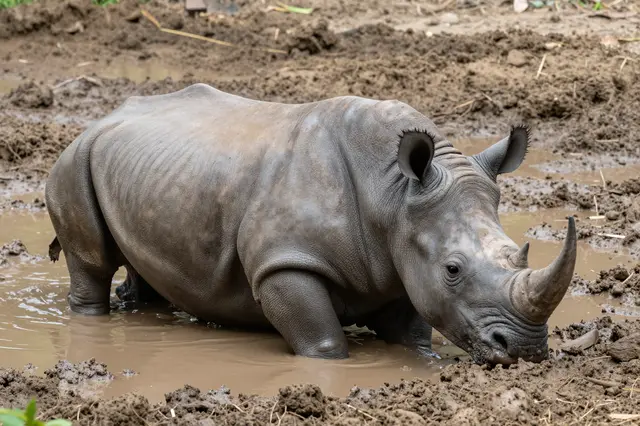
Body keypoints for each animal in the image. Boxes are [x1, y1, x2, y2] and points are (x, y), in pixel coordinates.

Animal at [45, 83, 577, 364]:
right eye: (453, 269)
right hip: (73, 161)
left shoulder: (401, 261)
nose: (527, 349)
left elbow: (413, 336)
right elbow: (325, 344)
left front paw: (420, 358)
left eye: (517, 251)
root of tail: (101, 118)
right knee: (90, 260)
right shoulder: (284, 261)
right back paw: (93, 318)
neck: (394, 194)